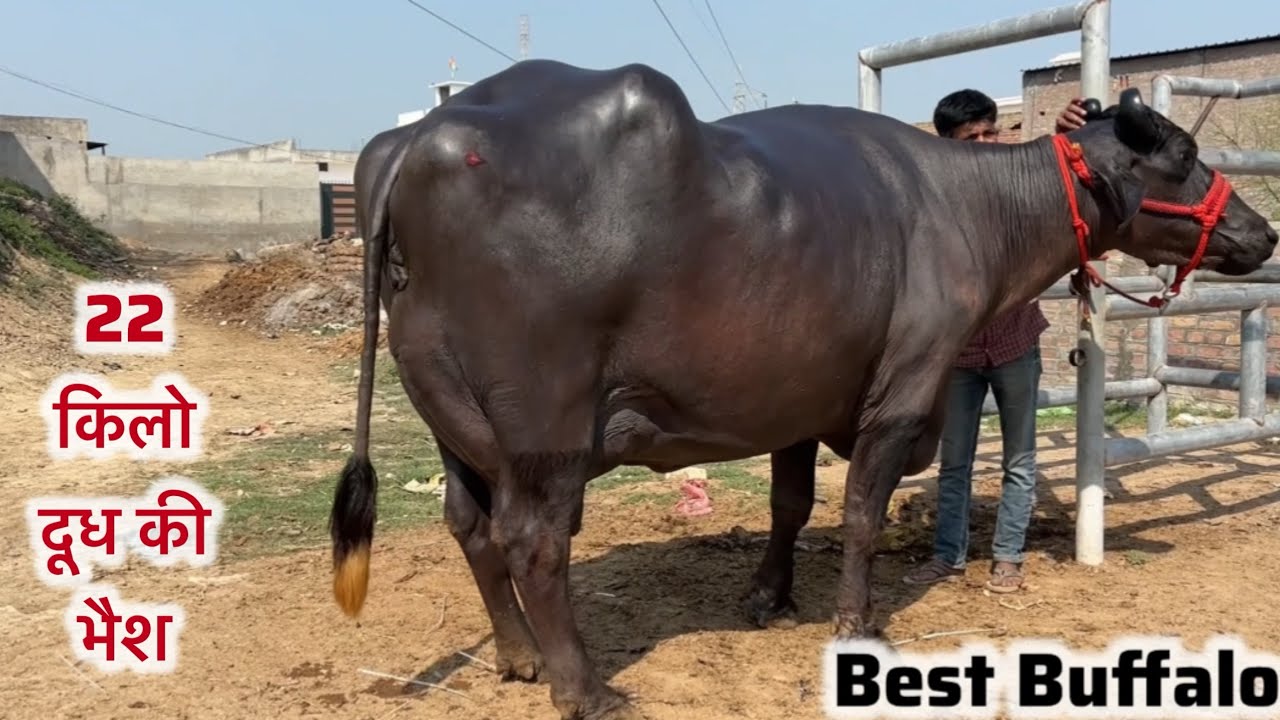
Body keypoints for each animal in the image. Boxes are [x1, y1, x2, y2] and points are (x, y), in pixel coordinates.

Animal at [329, 59, 1277, 719]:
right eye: (1185, 155)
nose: (1261, 232)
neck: (970, 209)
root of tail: (417, 136)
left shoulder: (791, 395)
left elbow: (790, 502)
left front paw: (770, 596)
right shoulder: (904, 390)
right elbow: (858, 513)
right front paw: (856, 621)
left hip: (450, 416)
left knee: (471, 527)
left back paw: (518, 656)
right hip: (546, 427)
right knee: (532, 541)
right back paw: (584, 687)